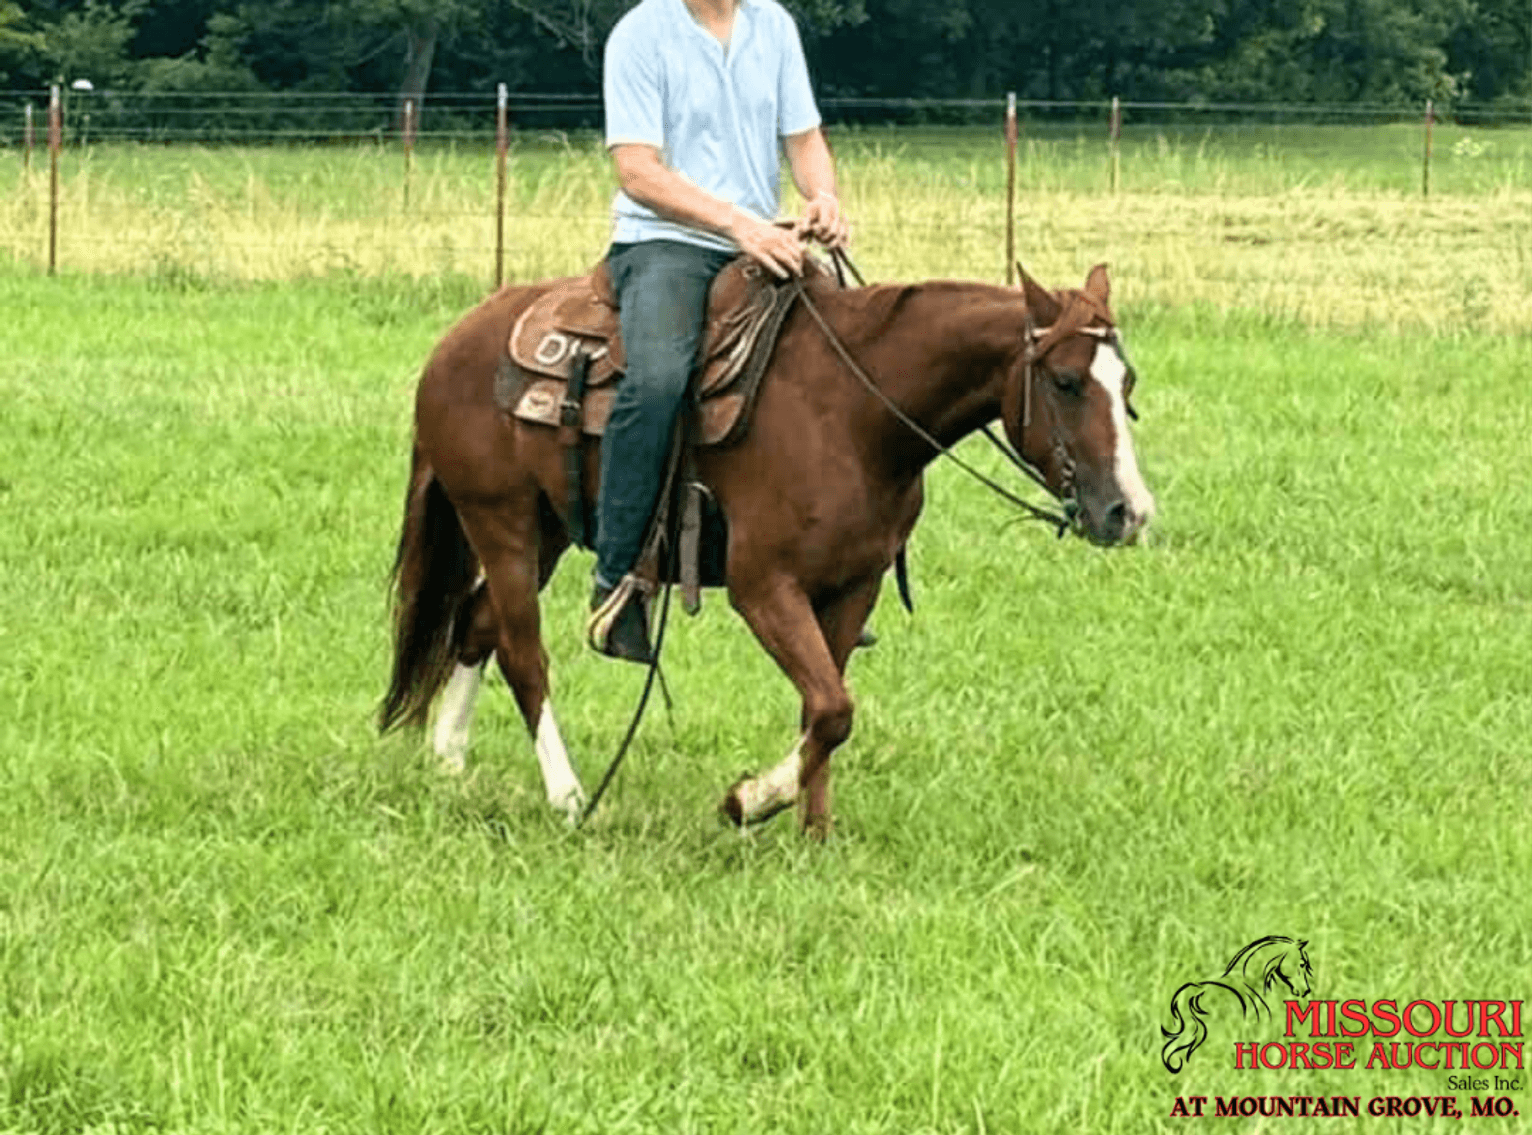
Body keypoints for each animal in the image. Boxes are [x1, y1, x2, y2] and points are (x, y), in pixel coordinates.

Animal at [379, 259, 1154, 835]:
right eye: (1066, 381)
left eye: (1128, 382)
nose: (1130, 512)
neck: (853, 414)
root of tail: (454, 342)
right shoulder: (764, 588)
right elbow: (834, 707)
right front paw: (750, 800)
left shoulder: (852, 586)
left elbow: (824, 708)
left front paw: (815, 829)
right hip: (501, 520)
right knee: (521, 649)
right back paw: (568, 798)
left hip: (547, 528)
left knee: (475, 623)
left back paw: (448, 763)